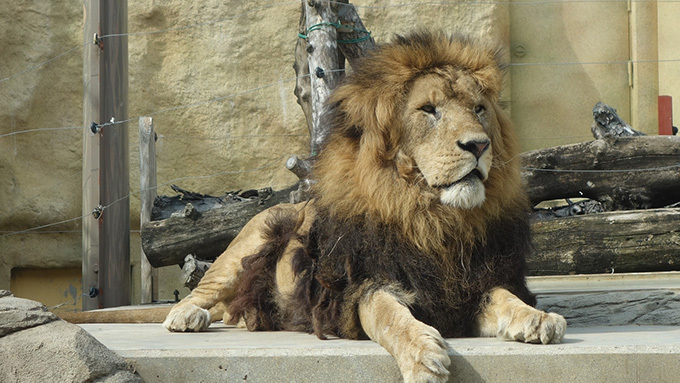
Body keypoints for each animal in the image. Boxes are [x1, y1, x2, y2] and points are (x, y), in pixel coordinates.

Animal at [162, 31, 564, 382]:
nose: (479, 145)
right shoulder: (364, 286)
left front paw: (538, 317)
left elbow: (507, 298)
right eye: (429, 110)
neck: (432, 219)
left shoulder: (473, 285)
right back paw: (187, 316)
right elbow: (390, 318)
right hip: (254, 235)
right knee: (204, 292)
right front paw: (423, 356)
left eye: (479, 109)